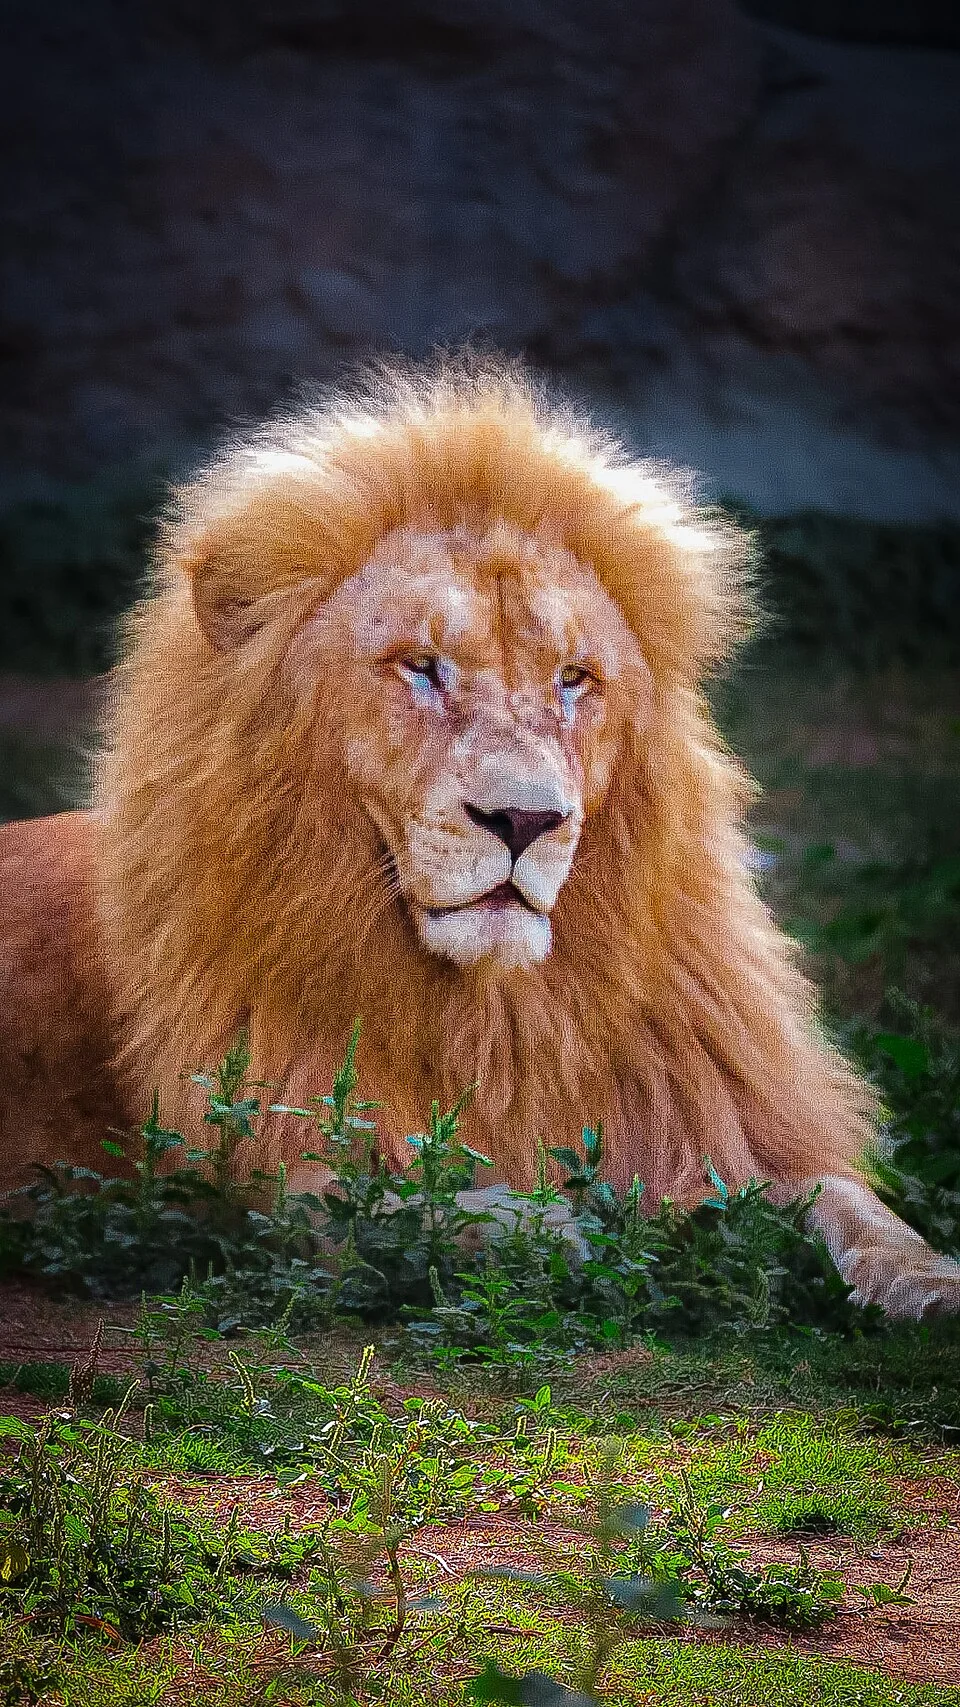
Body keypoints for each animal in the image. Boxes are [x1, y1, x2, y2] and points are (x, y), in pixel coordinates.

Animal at [1, 357, 958, 1319]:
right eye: (422, 668)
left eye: (573, 678)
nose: (525, 821)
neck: (504, 1014)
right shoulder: (254, 1173)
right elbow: (394, 1203)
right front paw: (550, 1227)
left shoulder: (724, 1116)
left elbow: (851, 1201)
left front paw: (928, 1281)